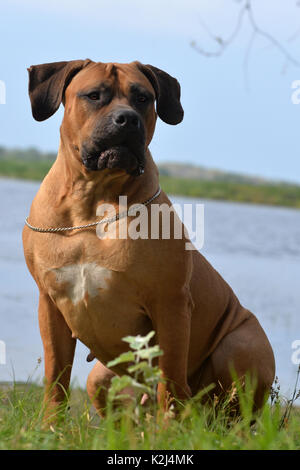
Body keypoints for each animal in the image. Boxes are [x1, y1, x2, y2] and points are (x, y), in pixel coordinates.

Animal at [21, 58, 274, 414]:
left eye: (143, 98)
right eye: (94, 95)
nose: (127, 118)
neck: (92, 203)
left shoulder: (170, 304)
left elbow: (170, 381)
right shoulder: (50, 305)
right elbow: (56, 380)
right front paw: (51, 425)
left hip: (241, 344)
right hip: (100, 379)